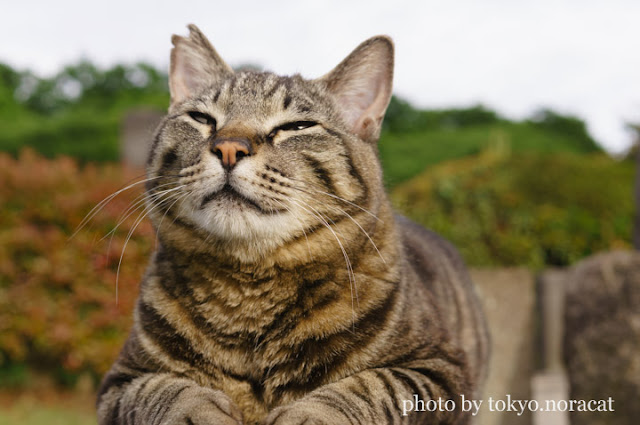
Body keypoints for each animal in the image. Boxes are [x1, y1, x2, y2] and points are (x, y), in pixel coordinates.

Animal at [96, 24, 490, 424]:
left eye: (296, 126)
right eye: (202, 118)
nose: (229, 147)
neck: (249, 291)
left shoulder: (440, 372)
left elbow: (366, 387)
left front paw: (308, 414)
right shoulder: (121, 381)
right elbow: (167, 390)